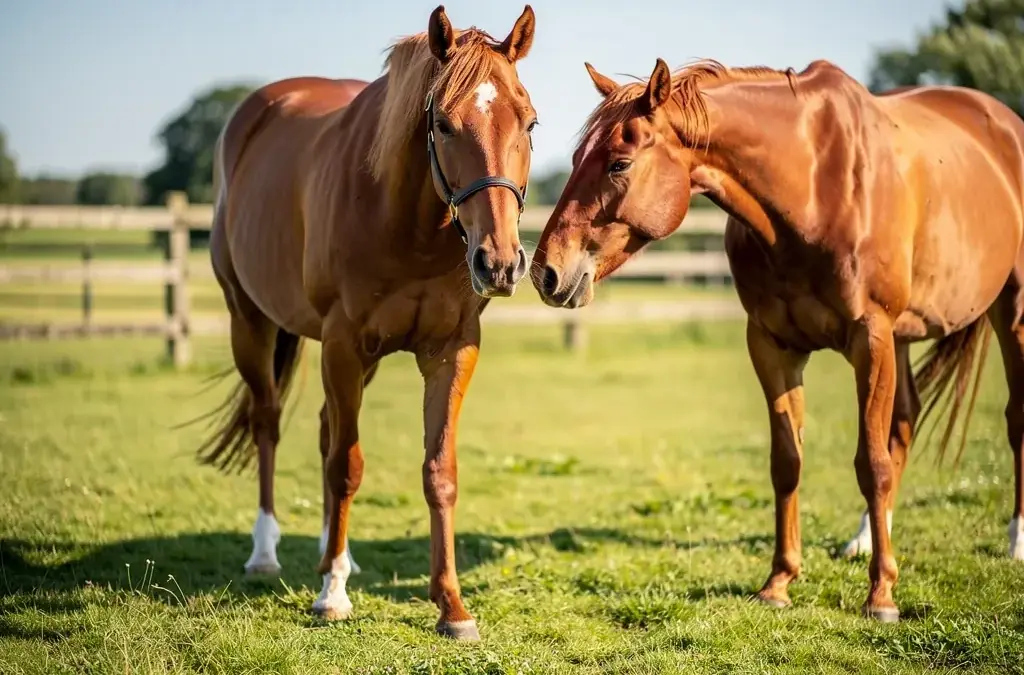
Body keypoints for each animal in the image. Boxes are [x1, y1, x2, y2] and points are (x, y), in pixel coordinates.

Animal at [193, 4, 539, 640]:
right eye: (444, 125)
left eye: (528, 122)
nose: (499, 262)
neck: (407, 223)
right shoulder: (342, 344)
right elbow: (346, 466)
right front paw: (331, 595)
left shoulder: (451, 349)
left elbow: (439, 471)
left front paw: (452, 607)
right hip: (249, 323)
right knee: (269, 423)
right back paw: (267, 552)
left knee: (325, 428)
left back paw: (337, 550)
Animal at [531, 56, 1024, 622]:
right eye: (575, 159)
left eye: (618, 164)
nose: (545, 272)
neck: (814, 189)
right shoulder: (773, 345)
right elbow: (787, 462)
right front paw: (780, 582)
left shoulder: (870, 339)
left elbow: (870, 464)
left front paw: (881, 594)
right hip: (902, 339)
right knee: (902, 423)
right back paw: (864, 539)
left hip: (1009, 312)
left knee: (1011, 420)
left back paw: (1014, 542)